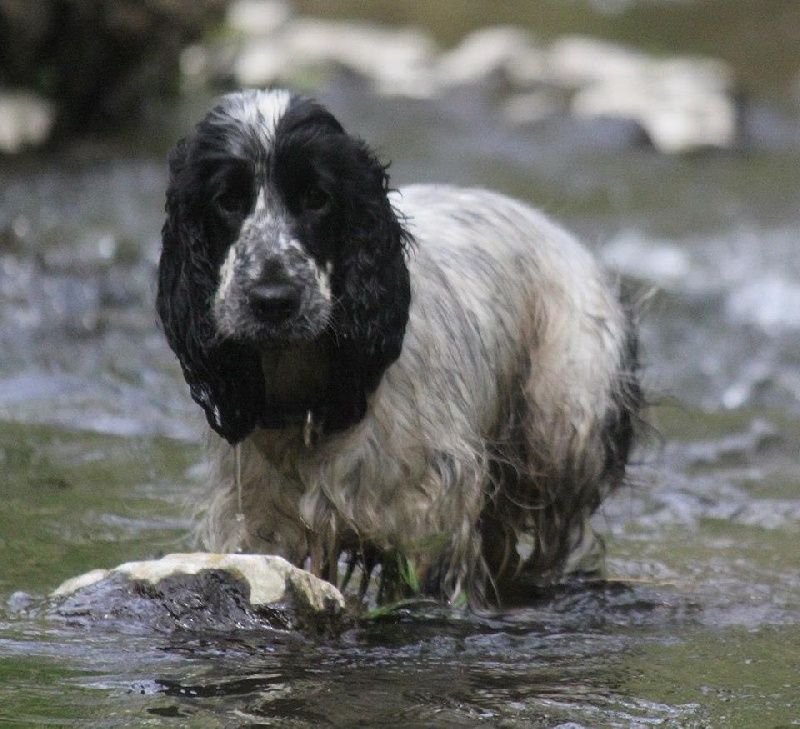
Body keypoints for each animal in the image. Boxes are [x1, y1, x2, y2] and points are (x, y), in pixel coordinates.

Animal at [156, 88, 644, 604]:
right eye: (227, 200)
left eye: (317, 198)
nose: (273, 301)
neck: (309, 395)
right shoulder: (259, 524)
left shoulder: (430, 525)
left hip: (564, 429)